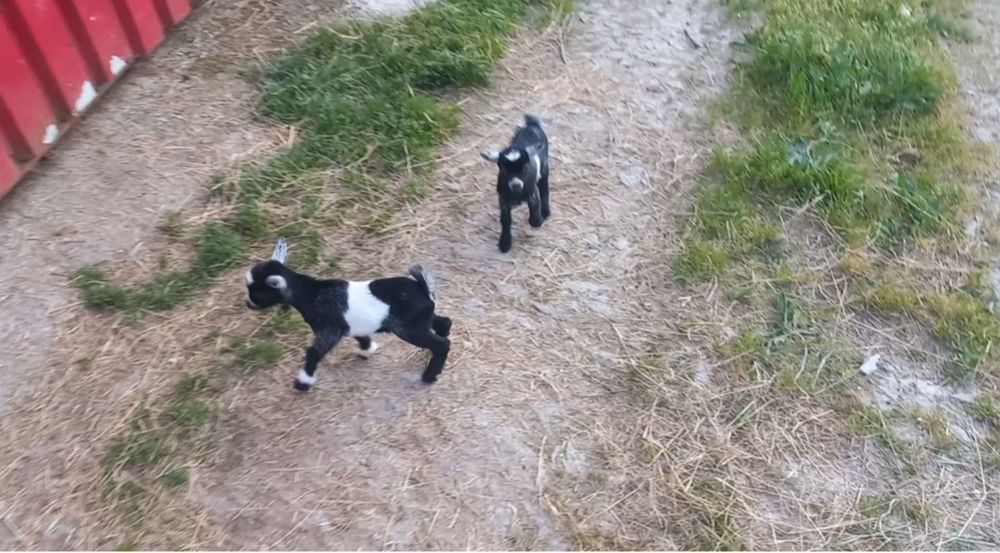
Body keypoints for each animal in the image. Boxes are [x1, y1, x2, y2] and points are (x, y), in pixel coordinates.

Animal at [244, 238, 453, 391]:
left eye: (258, 293)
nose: (248, 303)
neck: (311, 293)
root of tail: (422, 287)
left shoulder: (328, 330)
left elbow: (313, 352)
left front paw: (303, 382)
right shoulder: (349, 326)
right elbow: (361, 336)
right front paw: (367, 350)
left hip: (407, 328)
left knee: (442, 344)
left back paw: (429, 376)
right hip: (420, 320)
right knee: (443, 322)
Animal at [481, 114, 550, 253]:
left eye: (525, 167)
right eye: (503, 168)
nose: (516, 184)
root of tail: (532, 125)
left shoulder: (532, 192)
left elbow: (534, 217)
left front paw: (538, 220)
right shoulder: (503, 199)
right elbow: (505, 220)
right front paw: (504, 243)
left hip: (544, 168)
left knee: (544, 188)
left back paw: (545, 212)